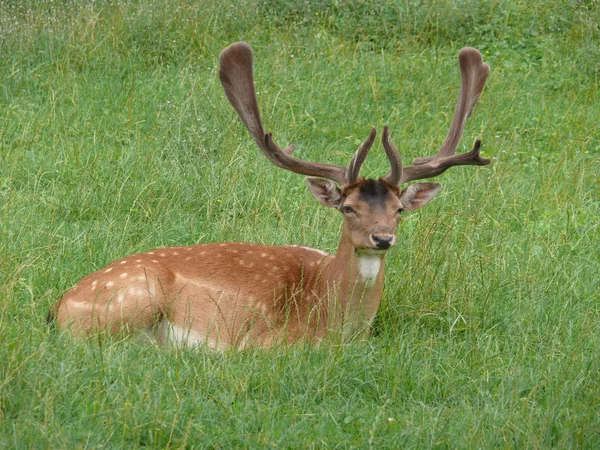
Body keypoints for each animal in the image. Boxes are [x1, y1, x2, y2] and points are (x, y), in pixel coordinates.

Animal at [48, 42, 492, 350]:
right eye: (348, 208)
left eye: (399, 209)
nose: (382, 237)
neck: (339, 323)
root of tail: (58, 308)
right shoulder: (266, 341)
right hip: (134, 297)